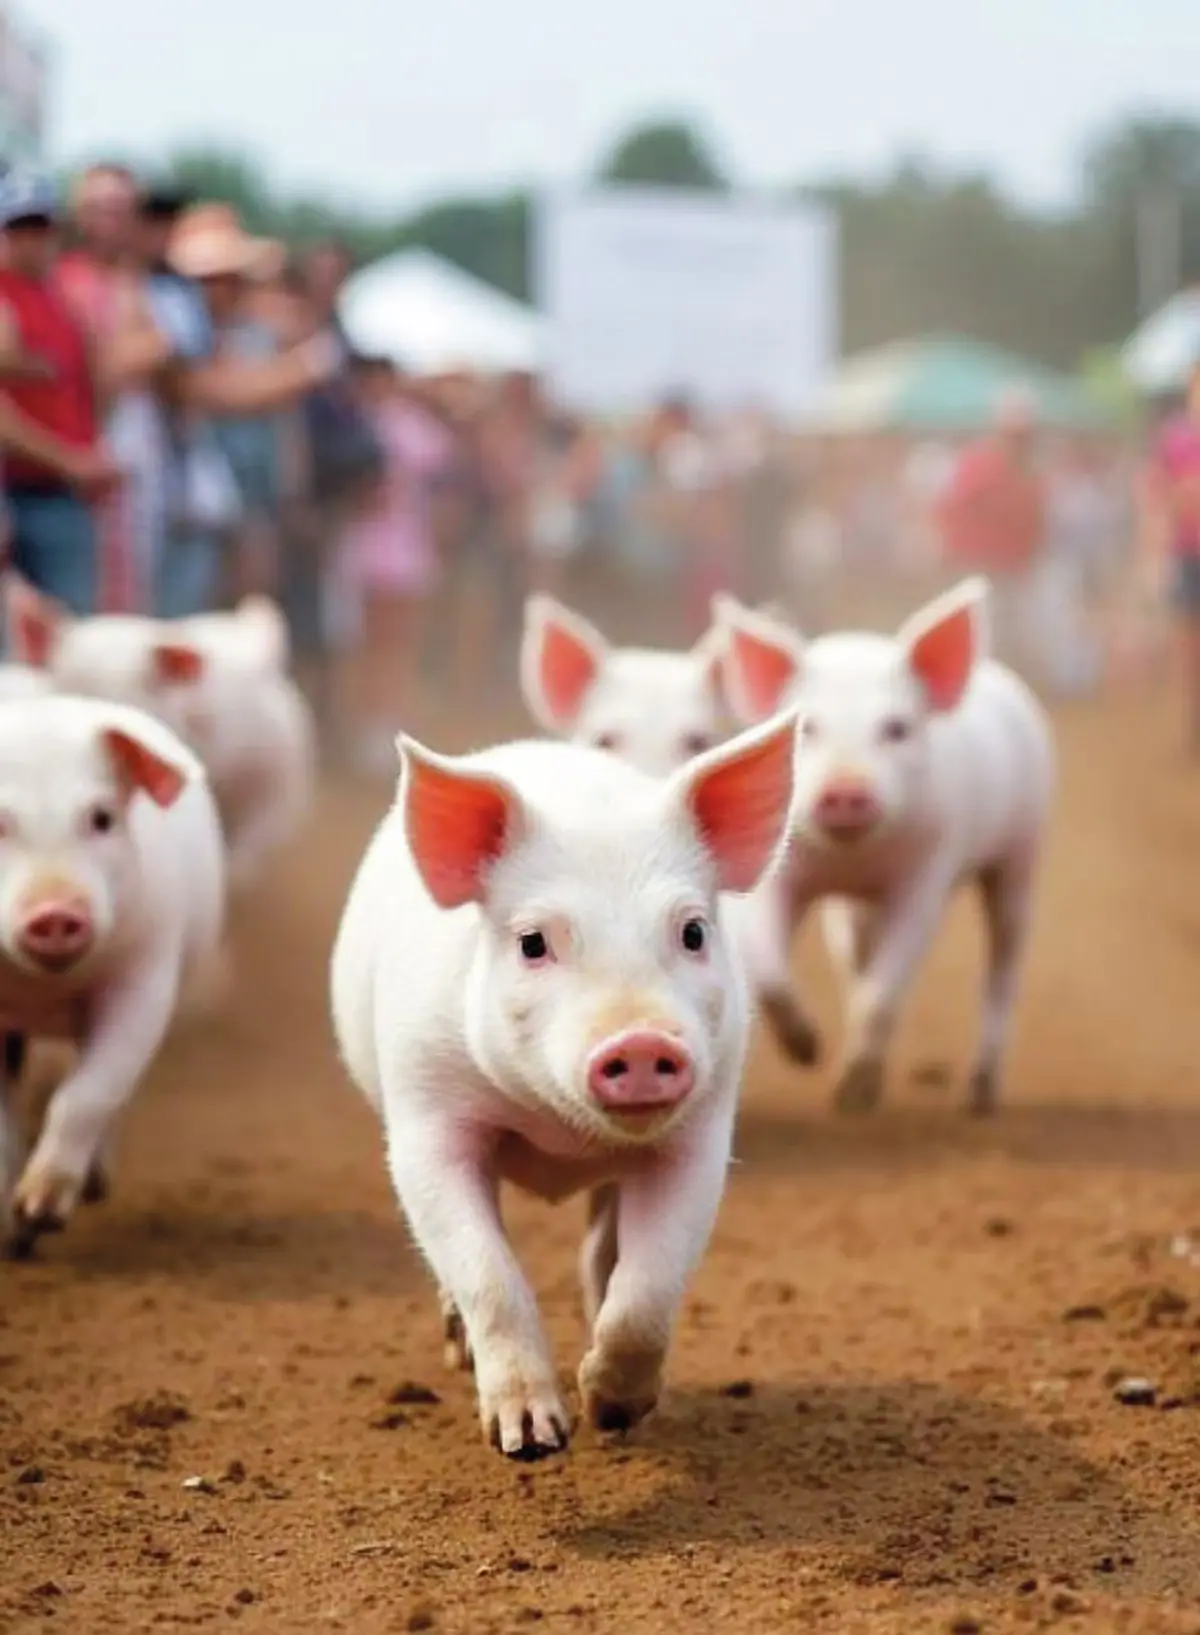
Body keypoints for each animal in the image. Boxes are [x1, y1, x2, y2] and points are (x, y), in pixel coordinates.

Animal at [0, 695, 225, 1253]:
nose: (56, 911)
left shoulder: (145, 974)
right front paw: (17, 1228)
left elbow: (88, 1092)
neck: (38, 989)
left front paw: (41, 1211)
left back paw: (92, 1189)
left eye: (101, 818)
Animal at [330, 712, 798, 1457]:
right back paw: (458, 1350)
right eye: (532, 943)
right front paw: (531, 1441)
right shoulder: (425, 1114)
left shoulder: (700, 1132)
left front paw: (610, 1410)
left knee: (602, 1250)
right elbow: (487, 1272)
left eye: (693, 931)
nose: (640, 1041)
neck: (561, 1134)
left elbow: (649, 1289)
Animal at [713, 578, 1054, 1116]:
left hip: (1023, 848)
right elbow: (767, 965)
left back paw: (980, 1093)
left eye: (896, 729)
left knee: (1004, 958)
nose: (845, 789)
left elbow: (885, 989)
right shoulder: (780, 875)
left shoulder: (926, 874)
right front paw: (809, 1053)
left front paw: (850, 1096)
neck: (854, 862)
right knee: (856, 955)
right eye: (808, 729)